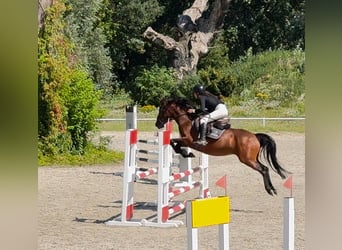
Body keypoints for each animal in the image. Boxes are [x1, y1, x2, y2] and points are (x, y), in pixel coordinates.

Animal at [155, 95, 292, 195]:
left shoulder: (188, 141)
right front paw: (187, 153)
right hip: (252, 158)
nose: (158, 124)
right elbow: (173, 142)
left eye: (162, 109)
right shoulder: (186, 141)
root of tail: (254, 136)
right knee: (265, 168)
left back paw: (269, 190)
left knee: (264, 169)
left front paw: (186, 153)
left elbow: (173, 142)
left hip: (247, 159)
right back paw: (273, 189)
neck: (187, 122)